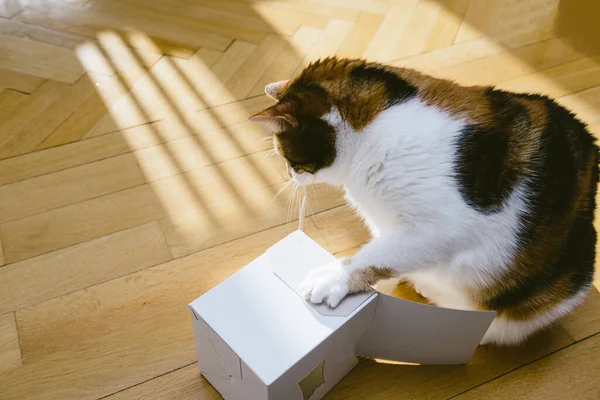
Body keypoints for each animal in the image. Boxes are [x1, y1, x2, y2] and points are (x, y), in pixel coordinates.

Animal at [250, 57, 600, 346]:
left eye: (287, 156)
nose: (290, 175)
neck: (373, 137)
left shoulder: (441, 229)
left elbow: (377, 256)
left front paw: (333, 277)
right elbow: (384, 251)